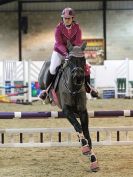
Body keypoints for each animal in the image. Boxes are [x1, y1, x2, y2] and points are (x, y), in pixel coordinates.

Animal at [38, 41, 98, 171]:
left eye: (83, 59)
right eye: (70, 59)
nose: (79, 77)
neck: (74, 88)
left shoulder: (83, 111)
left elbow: (85, 131)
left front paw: (92, 159)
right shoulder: (67, 110)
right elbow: (78, 126)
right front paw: (86, 149)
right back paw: (45, 96)